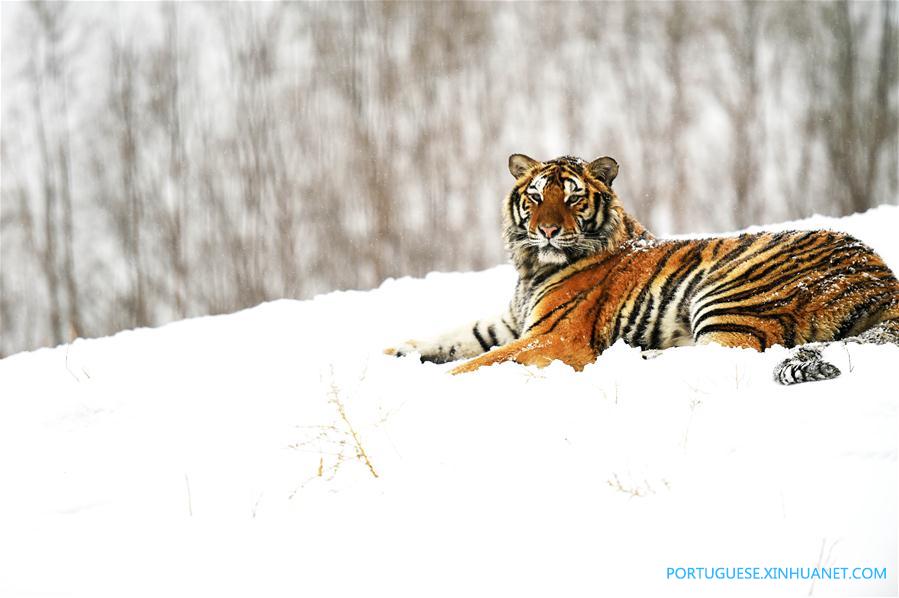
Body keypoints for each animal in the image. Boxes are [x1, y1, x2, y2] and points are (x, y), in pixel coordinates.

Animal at [387, 153, 899, 385]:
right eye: (534, 196)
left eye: (572, 197)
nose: (547, 230)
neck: (532, 268)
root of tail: (880, 273)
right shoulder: (512, 322)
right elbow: (455, 337)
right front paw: (396, 352)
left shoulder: (554, 336)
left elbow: (482, 360)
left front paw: (438, 384)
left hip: (730, 293)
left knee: (728, 352)